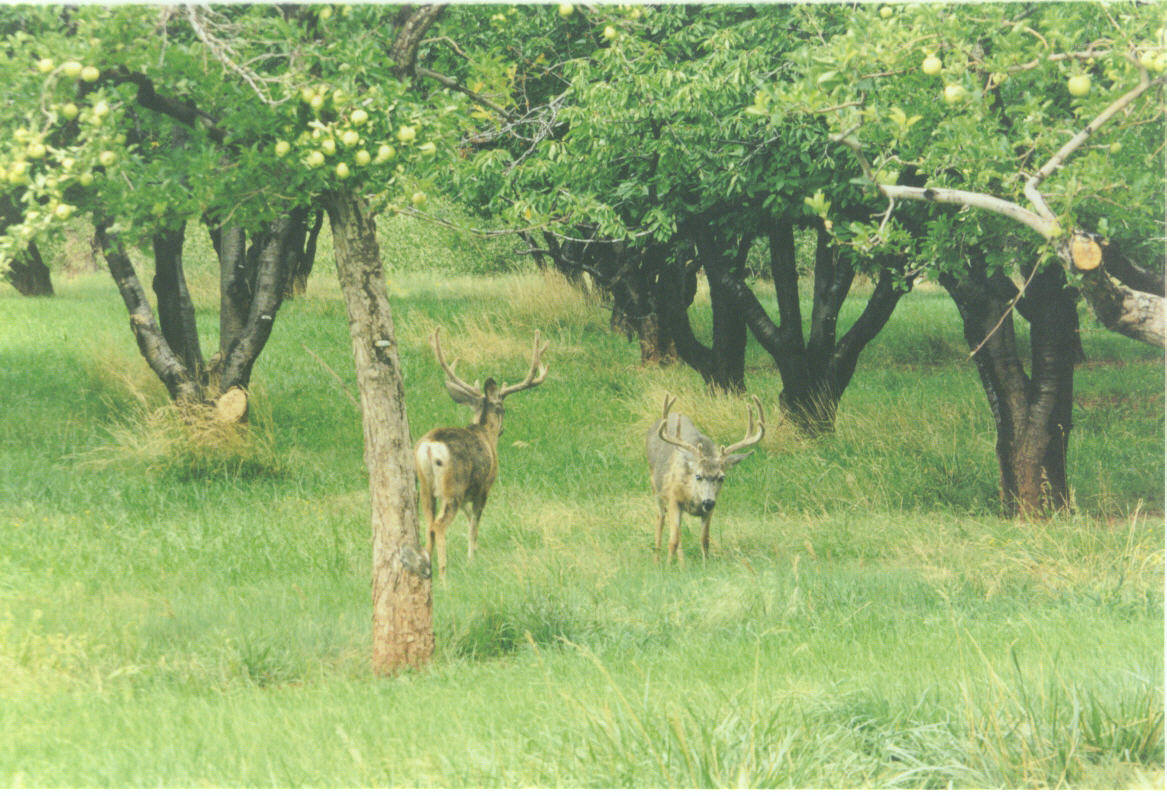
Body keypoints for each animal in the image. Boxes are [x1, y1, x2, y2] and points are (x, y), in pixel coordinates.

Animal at [417, 324, 548, 578]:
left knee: (428, 524)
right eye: (503, 408)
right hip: (452, 488)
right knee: (439, 525)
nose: (503, 429)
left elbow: (469, 521)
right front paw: (472, 558)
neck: (484, 432)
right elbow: (475, 525)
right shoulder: (484, 487)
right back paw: (444, 575)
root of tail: (429, 448)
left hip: (426, 488)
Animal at [648, 394, 765, 560]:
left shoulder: (709, 511)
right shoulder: (673, 499)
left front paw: (706, 563)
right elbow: (673, 541)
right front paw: (668, 565)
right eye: (698, 476)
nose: (708, 501)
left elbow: (704, 540)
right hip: (656, 488)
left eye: (721, 477)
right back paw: (657, 559)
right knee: (660, 519)